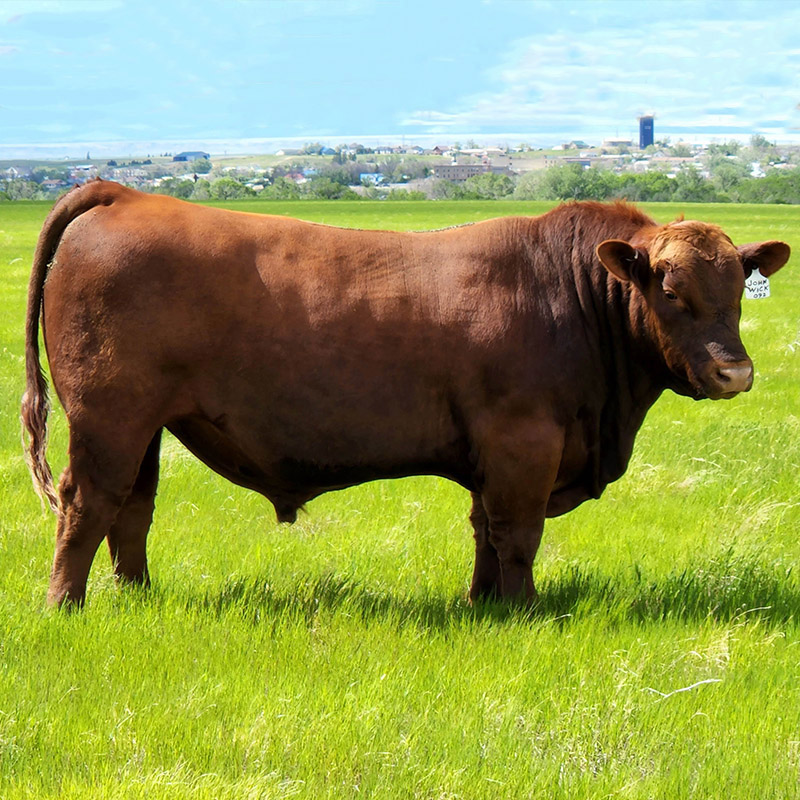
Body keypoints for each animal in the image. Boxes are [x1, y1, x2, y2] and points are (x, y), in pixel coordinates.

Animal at [22, 179, 790, 607]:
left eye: (738, 291)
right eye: (671, 290)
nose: (735, 373)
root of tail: (124, 194)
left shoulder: (494, 451)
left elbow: (485, 529)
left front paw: (483, 604)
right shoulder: (524, 442)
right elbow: (517, 534)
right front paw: (526, 610)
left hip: (145, 423)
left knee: (133, 507)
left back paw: (137, 596)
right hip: (109, 416)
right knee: (88, 504)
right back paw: (66, 605)